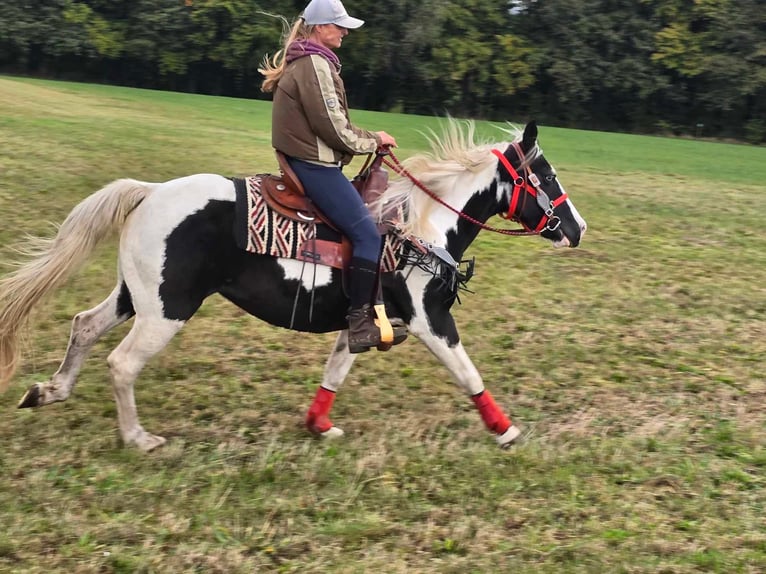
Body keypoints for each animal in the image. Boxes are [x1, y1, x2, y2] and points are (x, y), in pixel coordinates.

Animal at [0, 120, 588, 454]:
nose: (578, 229)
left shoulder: (366, 319)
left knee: (84, 326)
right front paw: (506, 431)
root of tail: (150, 192)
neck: (419, 227)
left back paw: (48, 391)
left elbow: (336, 370)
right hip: (167, 310)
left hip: (138, 296)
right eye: (546, 176)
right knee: (122, 364)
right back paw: (138, 439)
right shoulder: (429, 319)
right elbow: (468, 373)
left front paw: (318, 426)